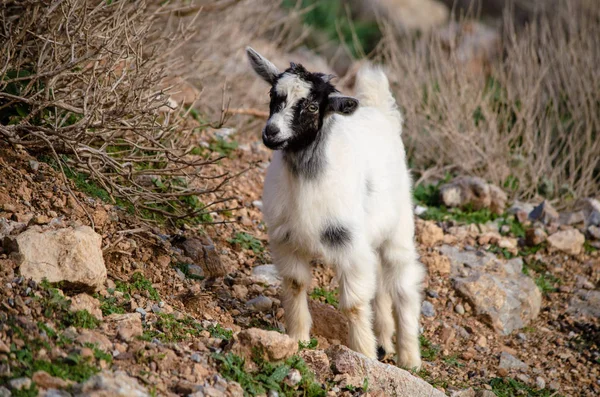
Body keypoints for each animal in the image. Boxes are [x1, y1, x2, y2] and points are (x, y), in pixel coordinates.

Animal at [246, 47, 424, 368]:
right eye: (272, 95)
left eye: (312, 106)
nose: (271, 132)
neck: (306, 182)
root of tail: (381, 111)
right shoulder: (286, 240)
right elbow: (295, 284)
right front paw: (298, 339)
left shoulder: (348, 245)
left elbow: (353, 304)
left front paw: (363, 354)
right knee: (380, 286)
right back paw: (385, 342)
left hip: (399, 229)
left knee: (404, 287)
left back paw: (409, 357)